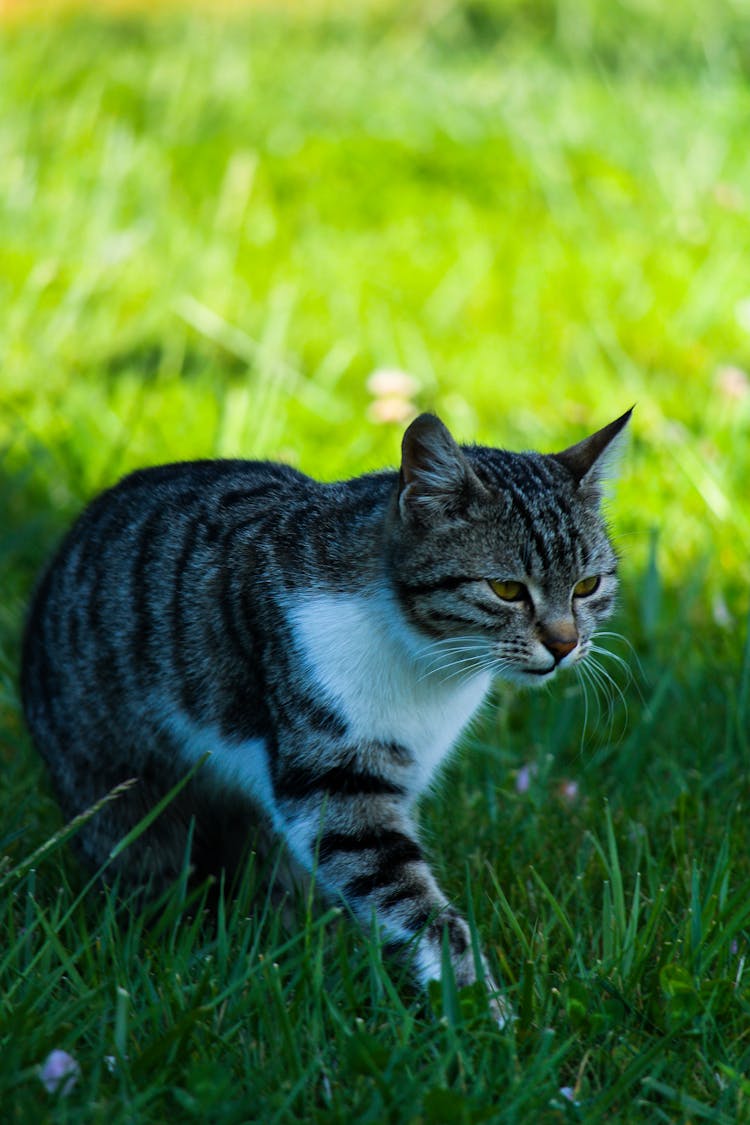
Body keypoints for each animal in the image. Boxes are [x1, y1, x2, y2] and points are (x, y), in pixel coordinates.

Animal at [22, 411, 629, 1021]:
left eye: (587, 586)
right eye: (505, 589)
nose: (564, 645)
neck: (422, 661)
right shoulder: (333, 776)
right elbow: (407, 894)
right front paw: (478, 1005)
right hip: (113, 781)